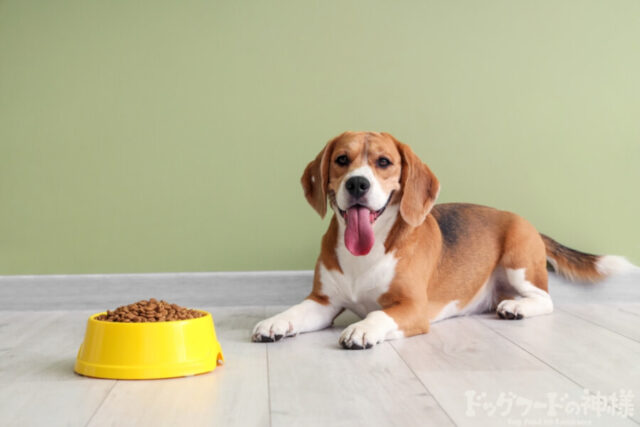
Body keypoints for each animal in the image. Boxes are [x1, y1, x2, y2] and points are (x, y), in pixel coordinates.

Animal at [250, 132, 632, 350]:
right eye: (341, 160)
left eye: (384, 162)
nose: (357, 183)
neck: (367, 254)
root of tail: (522, 220)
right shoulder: (324, 302)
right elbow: (296, 311)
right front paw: (274, 322)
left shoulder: (412, 308)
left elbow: (377, 315)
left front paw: (361, 329)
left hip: (519, 260)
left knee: (545, 299)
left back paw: (518, 307)